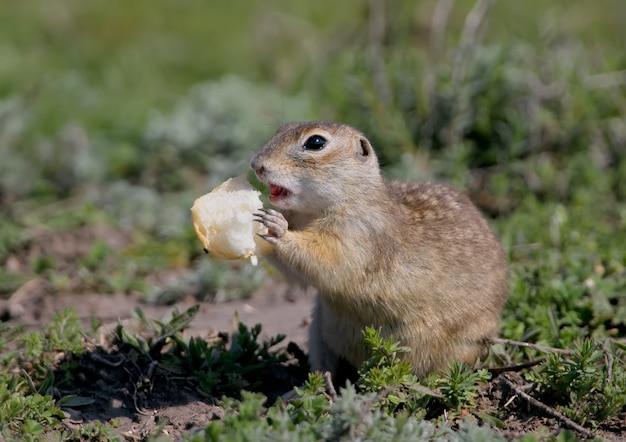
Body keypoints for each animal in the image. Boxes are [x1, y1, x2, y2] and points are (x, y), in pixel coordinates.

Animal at [250, 121, 508, 384]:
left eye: (315, 142)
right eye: (281, 129)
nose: (256, 164)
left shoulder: (358, 236)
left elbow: (326, 260)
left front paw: (277, 227)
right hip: (319, 331)